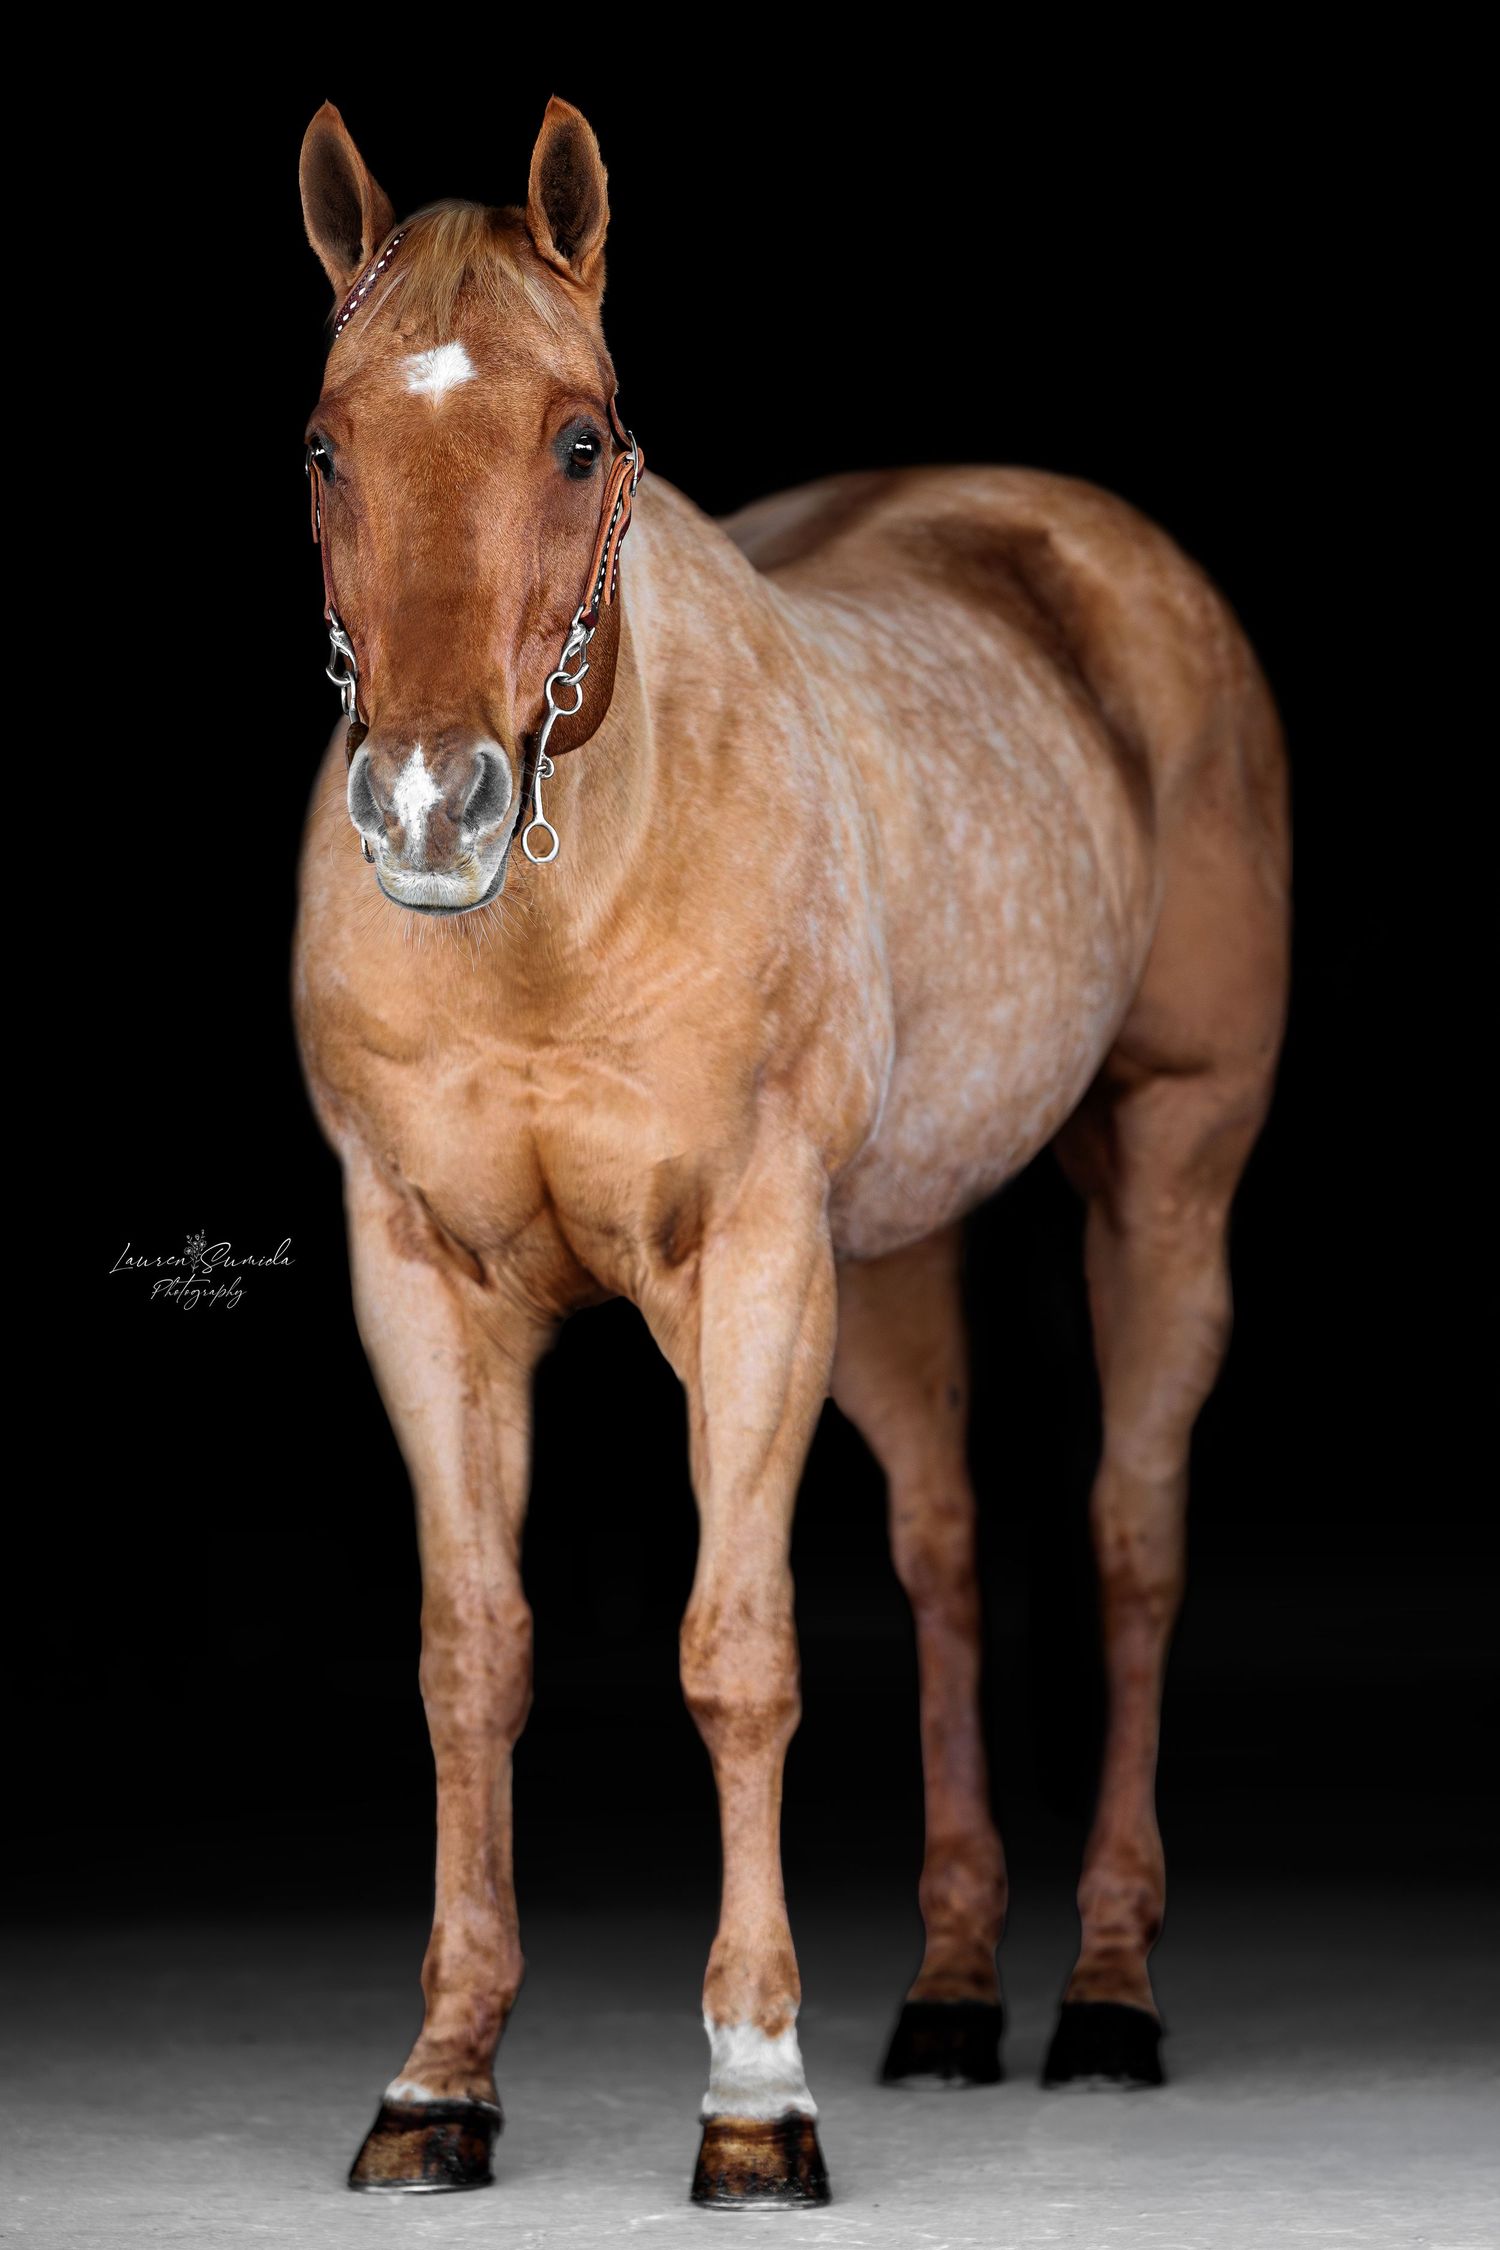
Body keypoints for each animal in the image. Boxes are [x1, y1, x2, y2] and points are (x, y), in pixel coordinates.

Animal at [293, 94, 1290, 2206]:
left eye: (581, 436)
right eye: (327, 444)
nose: (430, 808)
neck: (554, 919)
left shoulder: (751, 1263)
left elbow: (737, 1652)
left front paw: (756, 2094)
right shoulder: (417, 1279)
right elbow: (468, 1661)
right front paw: (438, 2084)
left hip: (1165, 1178)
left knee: (1132, 1543)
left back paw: (1105, 1995)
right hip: (890, 1262)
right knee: (946, 1557)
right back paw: (949, 1996)